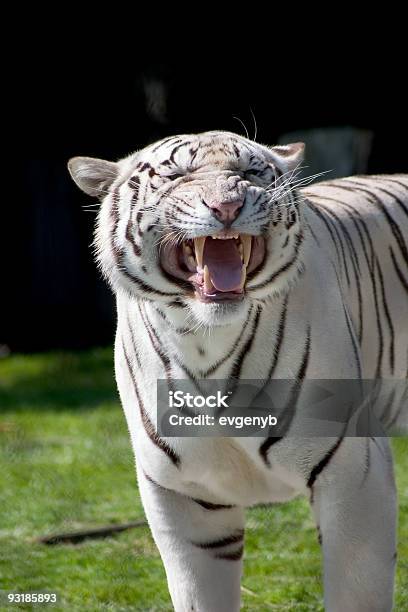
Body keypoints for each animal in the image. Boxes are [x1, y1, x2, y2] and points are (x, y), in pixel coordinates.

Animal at [68, 131, 406, 608]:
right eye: (177, 175)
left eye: (250, 172)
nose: (227, 207)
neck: (205, 345)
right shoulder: (183, 496)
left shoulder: (352, 468)